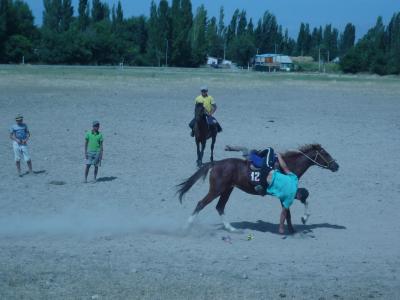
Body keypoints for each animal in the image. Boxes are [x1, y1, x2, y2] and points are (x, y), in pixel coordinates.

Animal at [177, 144, 340, 233]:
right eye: (325, 153)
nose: (336, 166)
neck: (286, 165)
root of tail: (216, 163)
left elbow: (293, 208)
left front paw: (296, 226)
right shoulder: (285, 192)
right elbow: (292, 209)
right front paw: (300, 222)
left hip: (227, 190)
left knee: (220, 207)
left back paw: (232, 229)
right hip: (217, 189)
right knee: (201, 204)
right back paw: (186, 227)